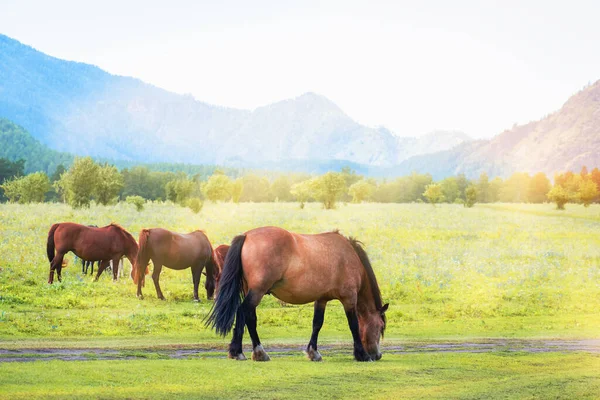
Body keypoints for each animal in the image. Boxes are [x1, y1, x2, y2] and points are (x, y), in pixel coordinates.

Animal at [206, 228, 390, 362]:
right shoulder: (349, 299)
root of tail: (246, 236)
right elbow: (353, 325)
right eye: (381, 326)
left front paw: (313, 352)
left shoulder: (321, 299)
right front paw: (362, 355)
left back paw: (257, 353)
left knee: (250, 318)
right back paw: (240, 352)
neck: (349, 256)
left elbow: (317, 323)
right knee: (243, 312)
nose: (378, 355)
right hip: (257, 291)